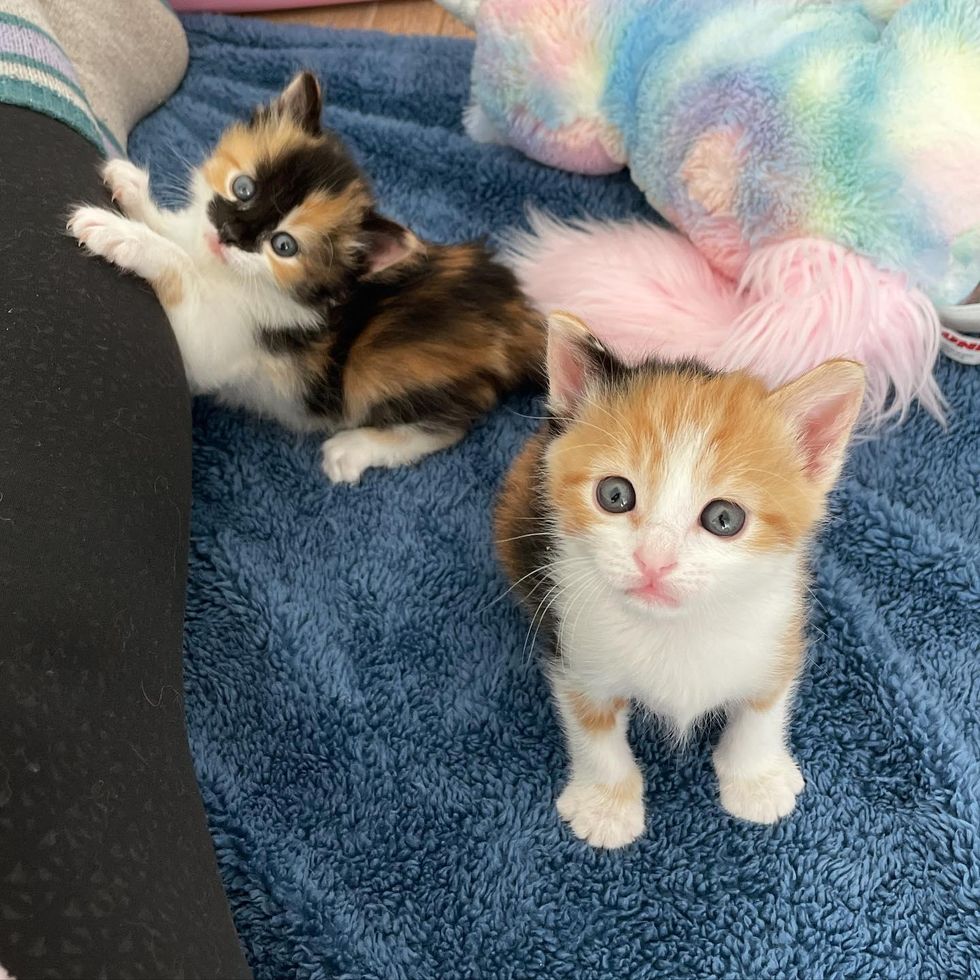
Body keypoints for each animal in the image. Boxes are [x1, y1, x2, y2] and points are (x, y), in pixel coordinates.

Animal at [69, 72, 544, 482]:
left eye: (284, 246)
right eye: (244, 188)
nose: (230, 235)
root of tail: (520, 318)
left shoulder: (224, 346)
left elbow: (180, 271)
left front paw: (121, 236)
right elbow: (182, 237)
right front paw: (131, 189)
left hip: (383, 365)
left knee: (448, 426)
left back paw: (353, 449)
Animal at [498, 310, 864, 848]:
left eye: (724, 519)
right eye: (614, 495)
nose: (654, 561)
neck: (674, 629)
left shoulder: (779, 623)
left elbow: (764, 703)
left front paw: (756, 780)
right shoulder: (573, 642)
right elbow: (592, 727)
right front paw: (606, 805)